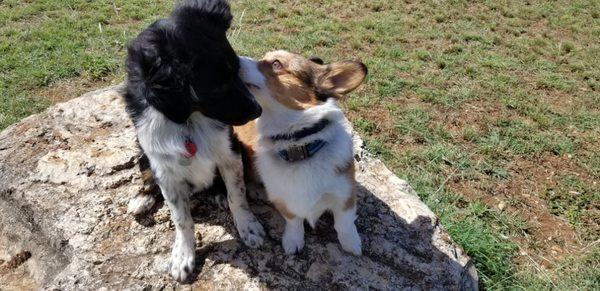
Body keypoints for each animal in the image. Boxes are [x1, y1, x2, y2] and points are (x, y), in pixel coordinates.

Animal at [123, 0, 264, 282]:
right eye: (218, 87)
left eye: (238, 69)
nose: (258, 110)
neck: (188, 119)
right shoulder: (163, 166)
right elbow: (181, 217)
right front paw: (182, 256)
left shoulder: (229, 151)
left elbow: (237, 195)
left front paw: (249, 227)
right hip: (143, 152)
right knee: (147, 176)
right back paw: (142, 198)